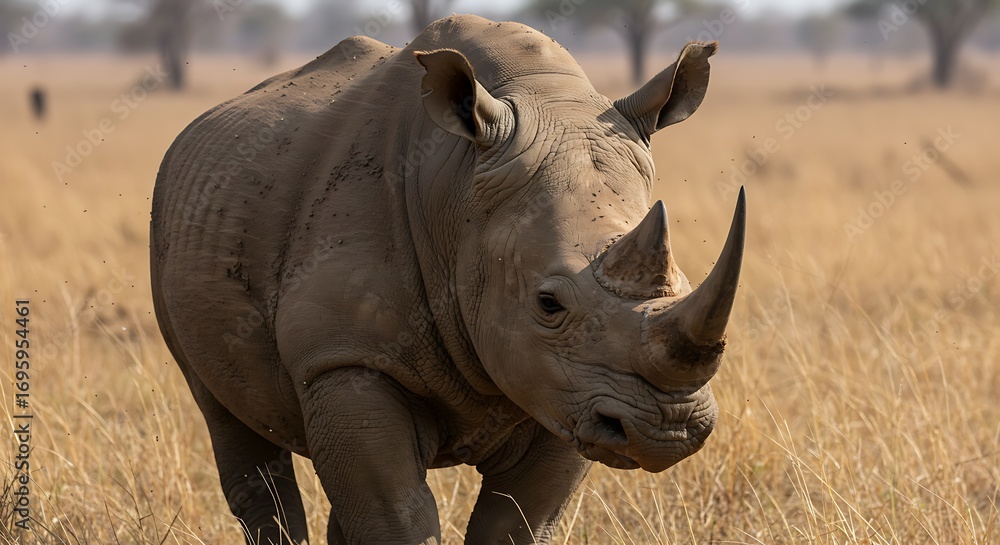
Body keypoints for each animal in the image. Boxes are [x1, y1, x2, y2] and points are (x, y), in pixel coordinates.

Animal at [150, 14, 745, 545]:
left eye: (683, 282)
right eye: (548, 303)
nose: (671, 428)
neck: (456, 190)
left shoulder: (571, 387)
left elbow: (518, 522)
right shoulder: (345, 356)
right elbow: (395, 518)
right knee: (232, 430)